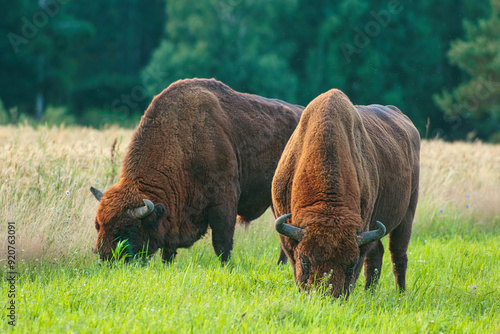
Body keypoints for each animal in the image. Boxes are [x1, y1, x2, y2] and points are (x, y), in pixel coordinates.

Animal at [89, 79, 304, 264]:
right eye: (98, 225)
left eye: (127, 230)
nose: (105, 260)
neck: (186, 139)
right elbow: (169, 250)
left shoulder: (224, 201)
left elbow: (222, 244)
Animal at [272, 88, 420, 298]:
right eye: (305, 260)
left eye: (351, 264)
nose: (326, 296)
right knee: (378, 253)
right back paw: (369, 292)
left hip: (407, 212)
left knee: (398, 254)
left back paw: (400, 293)